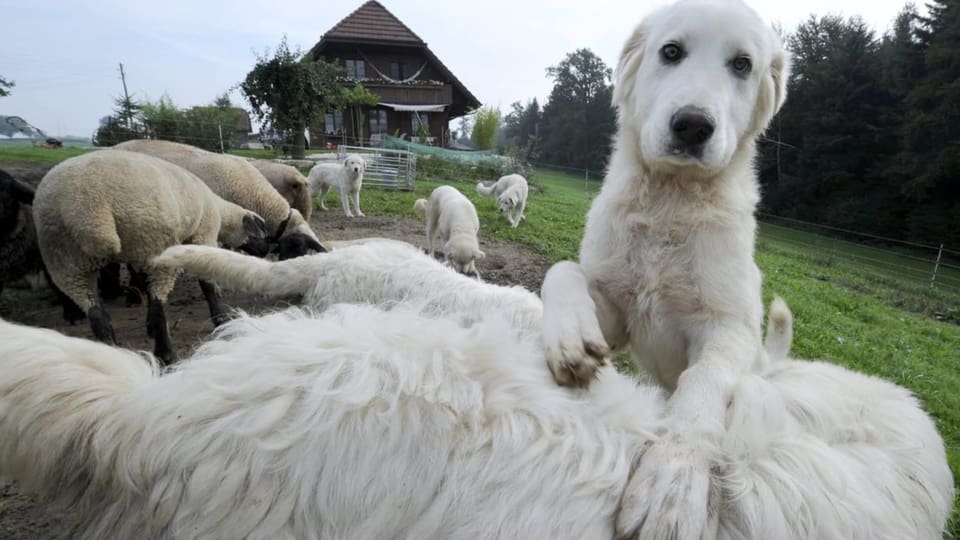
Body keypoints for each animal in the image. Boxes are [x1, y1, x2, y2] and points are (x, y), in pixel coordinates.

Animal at [33, 150, 268, 364]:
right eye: (259, 232)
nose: (266, 251)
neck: (219, 210)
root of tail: (89, 206)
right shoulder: (203, 233)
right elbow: (207, 283)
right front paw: (221, 318)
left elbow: (141, 281)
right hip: (154, 241)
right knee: (158, 301)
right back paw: (166, 354)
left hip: (66, 259)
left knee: (96, 313)